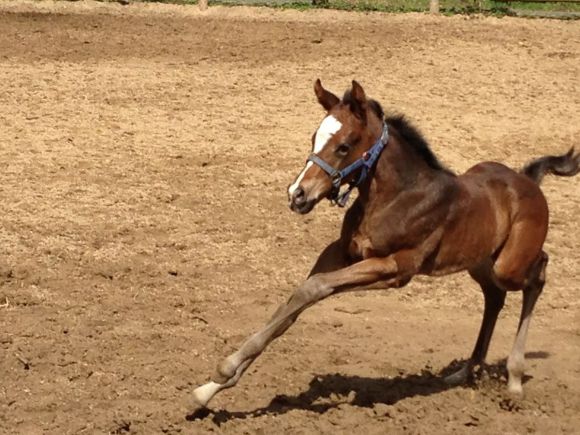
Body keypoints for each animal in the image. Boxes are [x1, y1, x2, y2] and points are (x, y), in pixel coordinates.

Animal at [191, 80, 580, 410]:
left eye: (344, 145)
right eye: (314, 137)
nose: (297, 195)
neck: (396, 197)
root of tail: (528, 181)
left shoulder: (395, 267)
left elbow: (313, 289)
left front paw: (223, 371)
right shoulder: (340, 252)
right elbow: (295, 302)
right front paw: (210, 389)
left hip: (508, 264)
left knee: (537, 274)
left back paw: (514, 379)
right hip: (478, 262)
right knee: (494, 297)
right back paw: (464, 372)